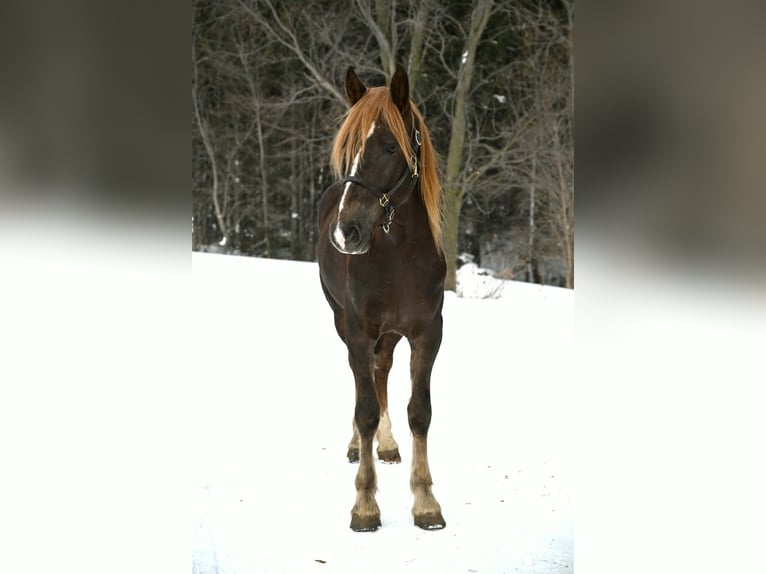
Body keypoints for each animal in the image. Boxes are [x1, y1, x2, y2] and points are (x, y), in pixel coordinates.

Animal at [317, 65, 446, 532]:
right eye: (348, 150)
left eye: (391, 146)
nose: (346, 233)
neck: (400, 257)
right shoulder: (358, 330)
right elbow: (366, 410)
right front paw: (365, 503)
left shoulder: (428, 334)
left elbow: (419, 412)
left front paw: (426, 502)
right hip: (344, 324)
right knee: (363, 381)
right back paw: (359, 445)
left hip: (390, 335)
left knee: (381, 369)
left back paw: (387, 445)